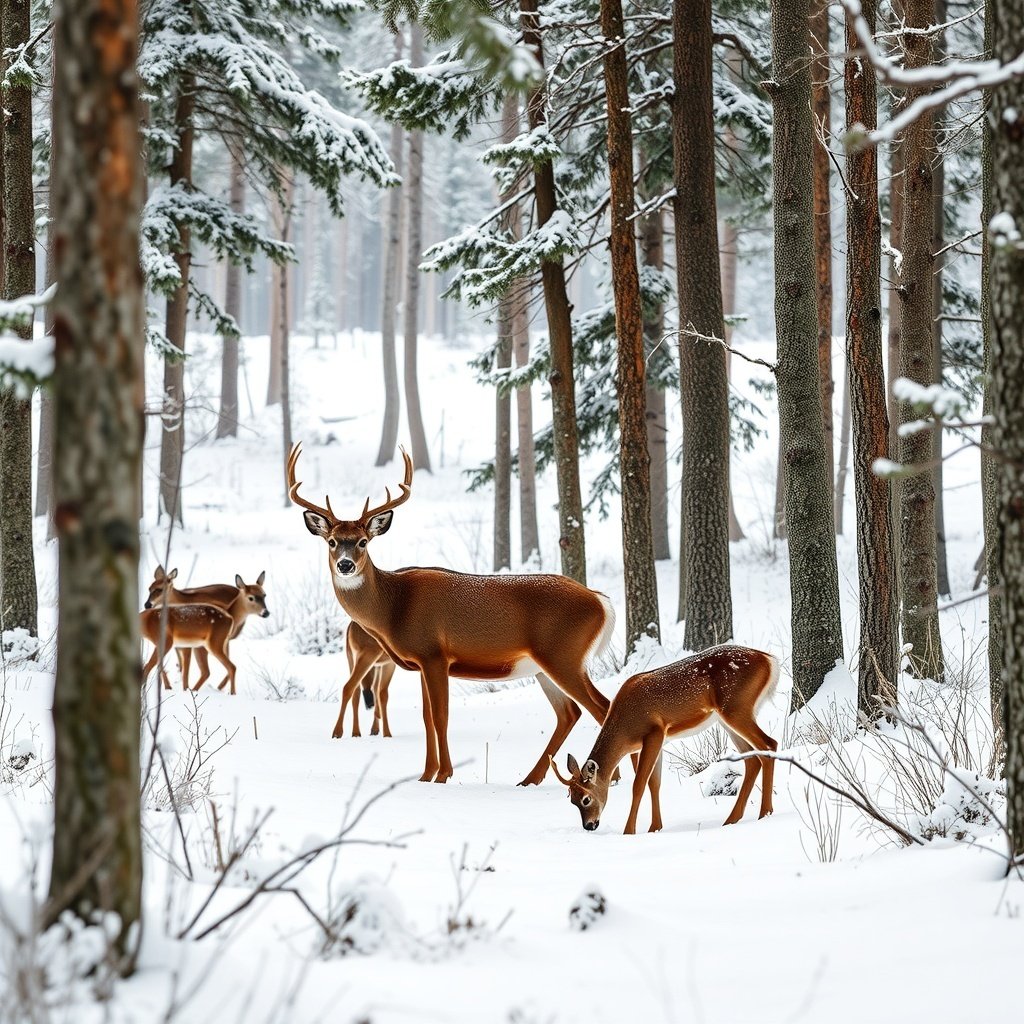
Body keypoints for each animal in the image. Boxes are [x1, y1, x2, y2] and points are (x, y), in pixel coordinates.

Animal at [287, 442, 615, 784]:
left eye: (363, 541)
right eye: (332, 541)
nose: (345, 565)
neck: (394, 607)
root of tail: (601, 601)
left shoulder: (434, 654)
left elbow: (441, 716)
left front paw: (444, 774)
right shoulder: (420, 660)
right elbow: (426, 716)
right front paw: (425, 774)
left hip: (564, 655)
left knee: (601, 707)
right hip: (543, 665)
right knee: (569, 713)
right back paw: (530, 779)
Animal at [551, 645, 779, 834]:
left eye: (586, 799)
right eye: (571, 800)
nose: (589, 825)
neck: (626, 729)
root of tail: (769, 661)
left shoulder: (654, 732)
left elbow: (639, 784)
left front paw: (629, 832)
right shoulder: (661, 740)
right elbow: (654, 783)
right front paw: (655, 828)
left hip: (737, 708)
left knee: (769, 744)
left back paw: (765, 813)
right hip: (728, 717)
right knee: (752, 758)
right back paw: (732, 819)